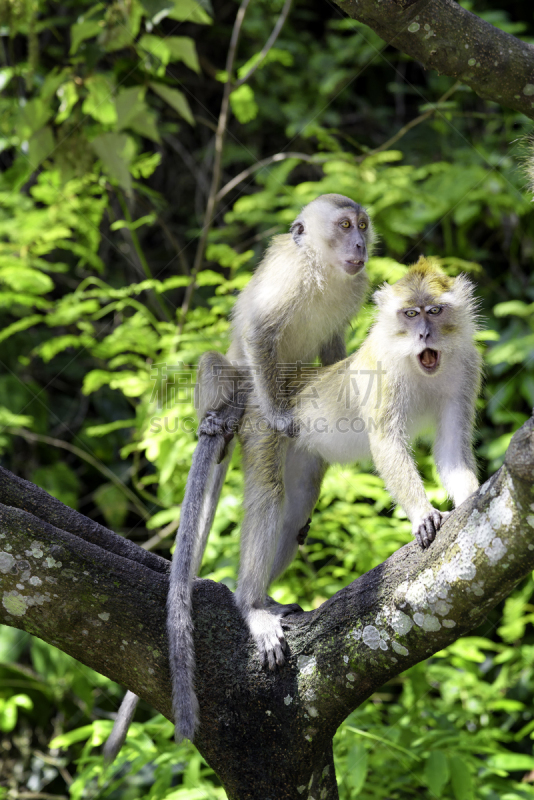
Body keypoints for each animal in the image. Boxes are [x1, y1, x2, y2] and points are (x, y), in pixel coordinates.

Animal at [104, 191, 376, 760]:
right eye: (344, 226)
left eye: (362, 225)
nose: (361, 245)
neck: (322, 270)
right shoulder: (288, 282)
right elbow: (257, 332)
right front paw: (276, 410)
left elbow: (333, 344)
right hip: (242, 403)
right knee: (243, 422)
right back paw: (250, 602)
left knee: (297, 500)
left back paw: (265, 596)